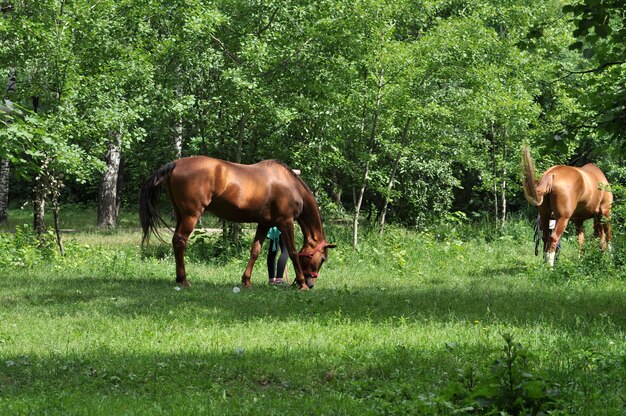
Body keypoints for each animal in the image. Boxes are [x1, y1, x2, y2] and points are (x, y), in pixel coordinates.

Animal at [140, 156, 336, 290]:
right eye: (322, 259)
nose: (311, 283)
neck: (290, 185)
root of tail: (176, 163)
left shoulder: (264, 224)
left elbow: (255, 251)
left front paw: (246, 281)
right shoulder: (286, 222)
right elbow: (294, 253)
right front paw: (301, 284)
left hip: (181, 214)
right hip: (191, 215)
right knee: (180, 241)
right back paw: (183, 279)